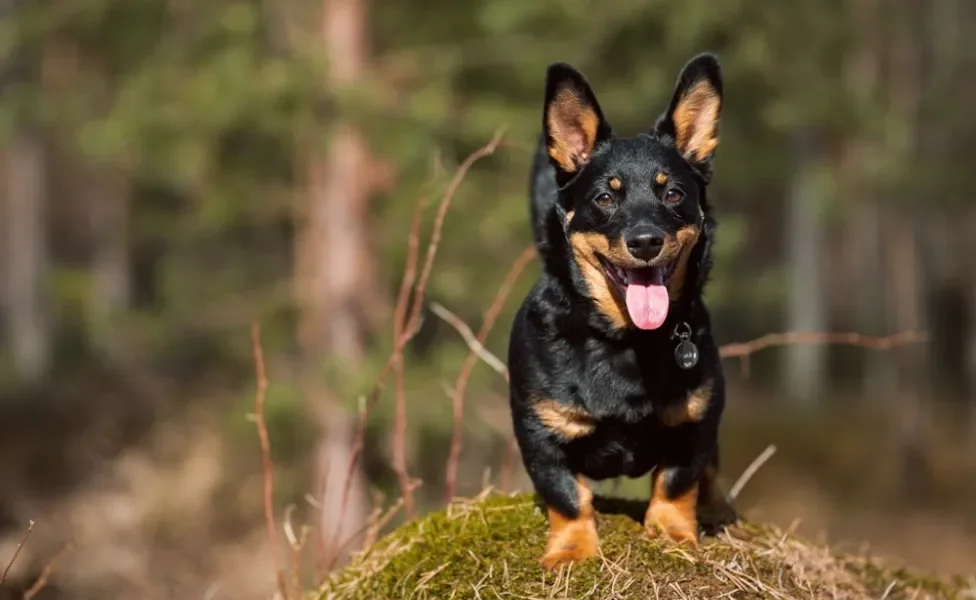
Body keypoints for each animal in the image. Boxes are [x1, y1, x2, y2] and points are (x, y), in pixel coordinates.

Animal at [508, 54, 736, 568]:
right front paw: (572, 549)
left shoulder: (696, 422)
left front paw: (672, 533)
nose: (646, 241)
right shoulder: (539, 435)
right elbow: (568, 495)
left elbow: (677, 481)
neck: (626, 340)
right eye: (605, 197)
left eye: (673, 194)